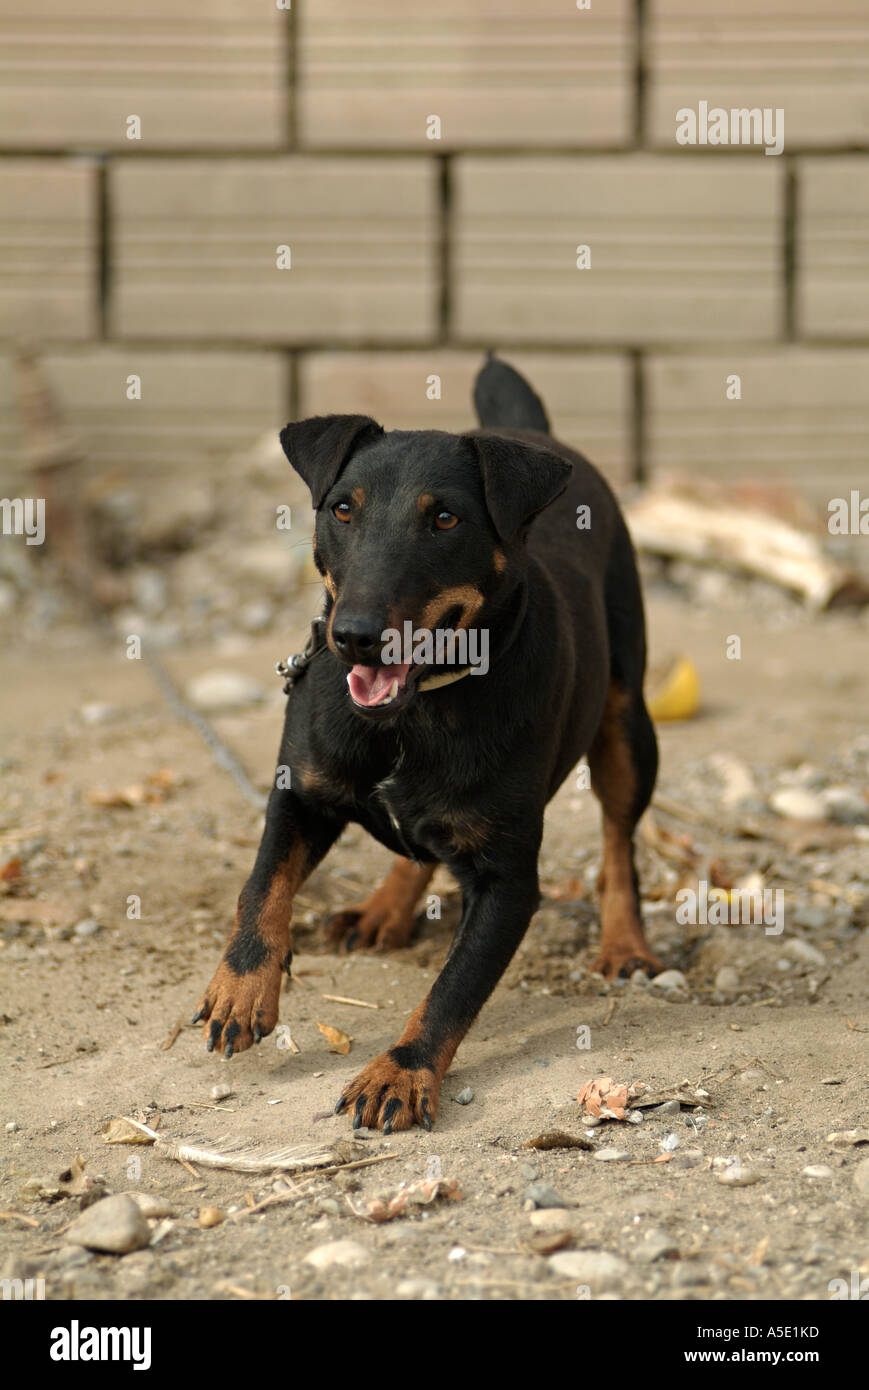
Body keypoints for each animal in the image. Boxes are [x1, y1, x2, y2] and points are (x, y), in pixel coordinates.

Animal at [194, 355, 656, 1128]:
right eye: (341, 509)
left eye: (444, 517)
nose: (353, 635)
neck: (414, 714)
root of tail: (533, 432)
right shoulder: (301, 790)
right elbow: (261, 885)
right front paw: (242, 988)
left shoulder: (507, 882)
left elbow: (454, 990)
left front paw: (401, 1072)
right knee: (418, 843)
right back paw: (384, 908)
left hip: (628, 722)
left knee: (618, 842)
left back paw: (626, 944)